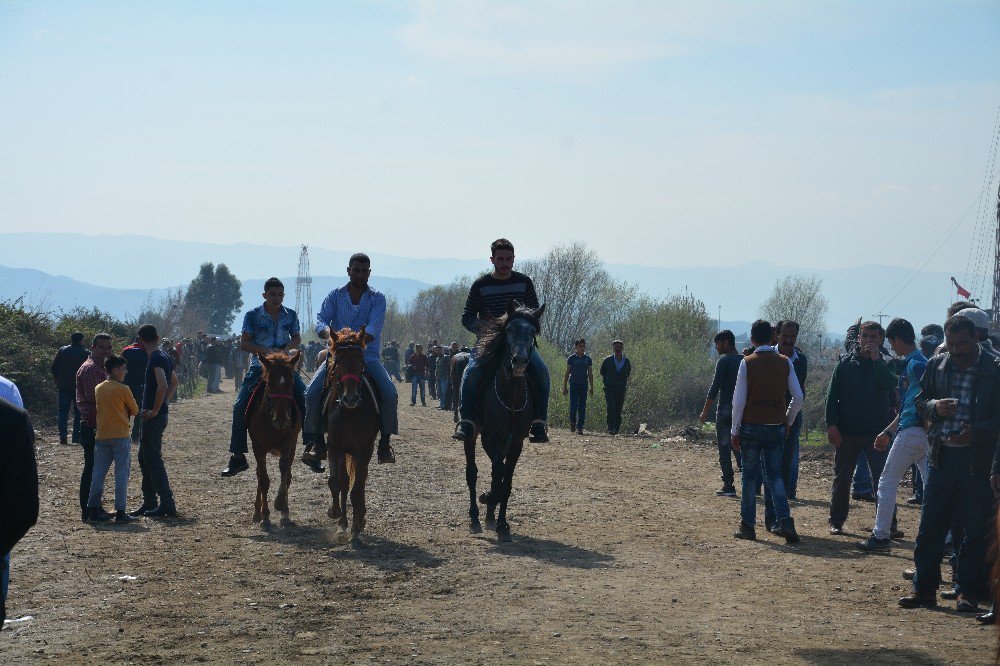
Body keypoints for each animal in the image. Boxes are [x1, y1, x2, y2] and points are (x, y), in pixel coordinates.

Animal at [246, 348, 300, 524]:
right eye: (270, 384)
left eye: (291, 384)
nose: (282, 420)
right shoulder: (257, 446)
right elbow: (263, 479)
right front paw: (265, 515)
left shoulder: (289, 440)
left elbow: (284, 469)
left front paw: (281, 503)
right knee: (259, 473)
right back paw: (258, 512)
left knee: (287, 473)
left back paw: (285, 513)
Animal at [324, 326, 382, 540]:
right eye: (338, 361)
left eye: (361, 360)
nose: (351, 398)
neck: (350, 412)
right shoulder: (334, 445)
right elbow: (337, 482)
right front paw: (337, 516)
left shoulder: (364, 449)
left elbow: (357, 489)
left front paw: (356, 530)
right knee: (345, 481)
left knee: (360, 482)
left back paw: (360, 519)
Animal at [462, 300, 548, 540]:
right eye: (508, 329)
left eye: (532, 331)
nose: (519, 361)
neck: (510, 396)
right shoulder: (489, 438)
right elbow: (498, 473)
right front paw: (487, 497)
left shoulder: (516, 441)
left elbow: (506, 480)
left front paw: (501, 524)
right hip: (472, 435)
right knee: (472, 472)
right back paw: (475, 519)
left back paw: (491, 517)